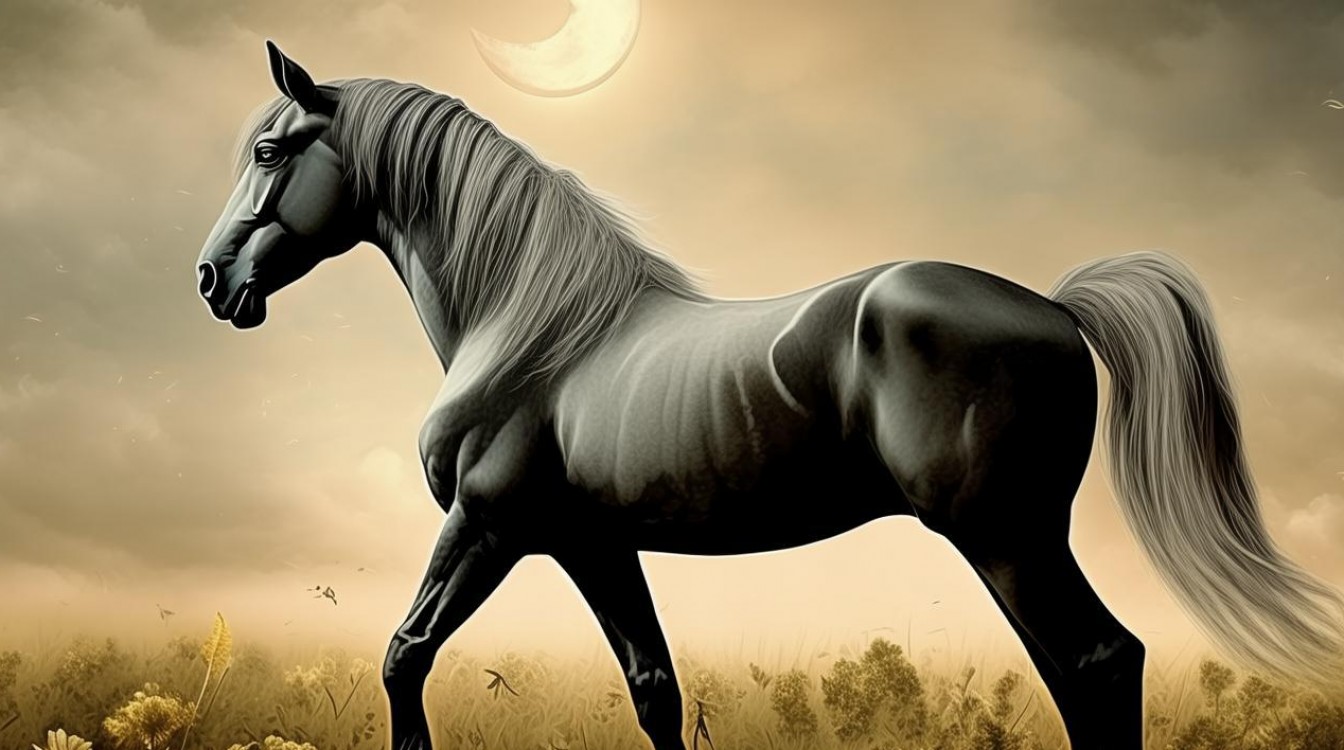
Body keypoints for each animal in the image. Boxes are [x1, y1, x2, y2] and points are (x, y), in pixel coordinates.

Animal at [195, 42, 1344, 750]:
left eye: (269, 149)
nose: (212, 281)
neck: (531, 325)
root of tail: (1056, 307)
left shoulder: (487, 528)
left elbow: (404, 659)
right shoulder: (591, 545)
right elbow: (655, 691)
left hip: (1009, 537)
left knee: (1098, 663)